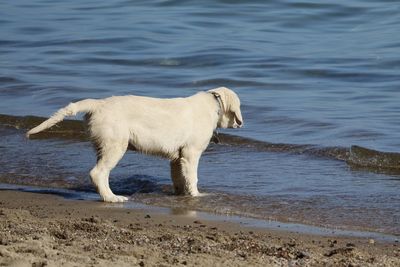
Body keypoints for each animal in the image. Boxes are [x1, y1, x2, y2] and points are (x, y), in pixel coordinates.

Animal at [27, 88, 244, 203]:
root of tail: (98, 104)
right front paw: (197, 195)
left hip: (103, 144)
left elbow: (178, 177)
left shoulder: (177, 157)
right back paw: (112, 198)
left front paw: (181, 194)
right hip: (115, 145)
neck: (213, 104)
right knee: (97, 173)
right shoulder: (191, 153)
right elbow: (192, 177)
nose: (241, 123)